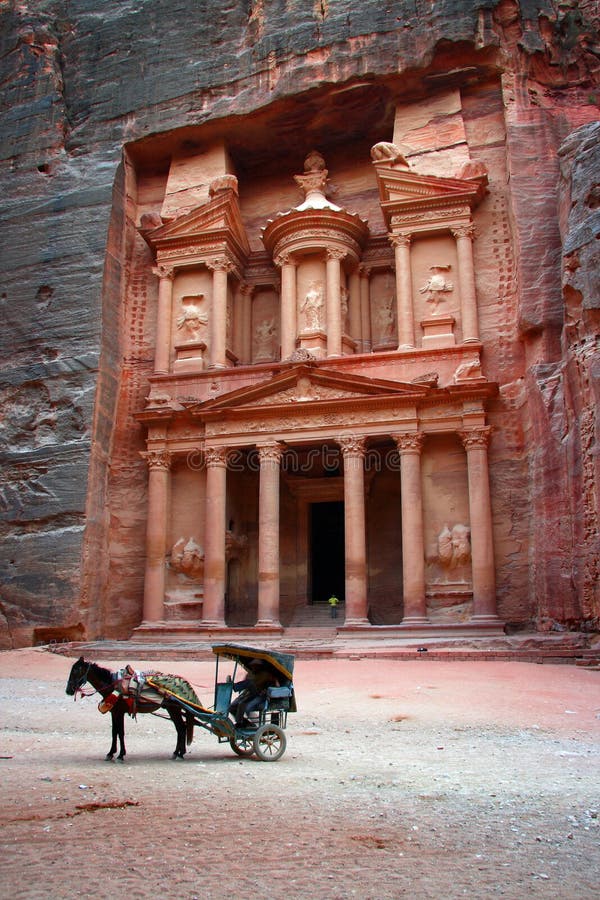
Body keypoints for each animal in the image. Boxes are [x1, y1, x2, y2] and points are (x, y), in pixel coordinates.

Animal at [65, 652, 197, 760]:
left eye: (76, 670)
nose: (68, 690)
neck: (112, 685)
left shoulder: (119, 711)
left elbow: (120, 732)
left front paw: (120, 755)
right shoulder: (114, 712)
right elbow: (114, 731)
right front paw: (112, 753)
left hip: (173, 708)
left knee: (181, 728)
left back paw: (179, 754)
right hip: (172, 708)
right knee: (181, 728)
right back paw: (178, 753)